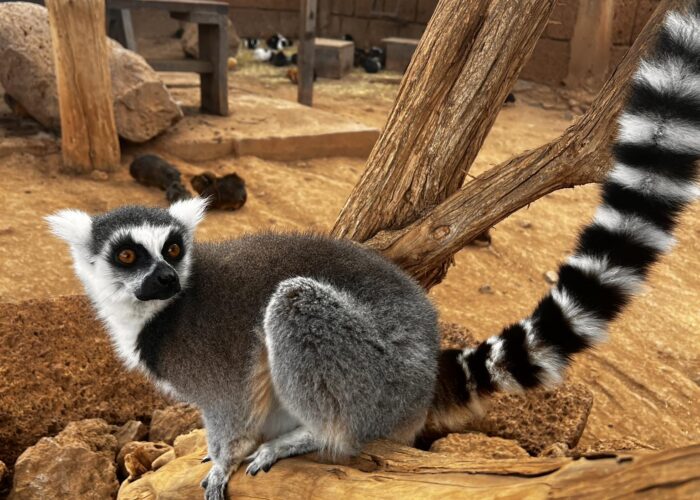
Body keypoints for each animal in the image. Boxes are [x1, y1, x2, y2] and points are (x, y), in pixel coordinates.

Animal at [47, 5, 699, 500]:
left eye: (174, 249)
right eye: (128, 257)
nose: (165, 279)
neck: (153, 314)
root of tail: (420, 378)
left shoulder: (213, 362)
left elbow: (228, 409)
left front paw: (222, 460)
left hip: (372, 377)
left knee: (297, 308)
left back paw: (312, 437)